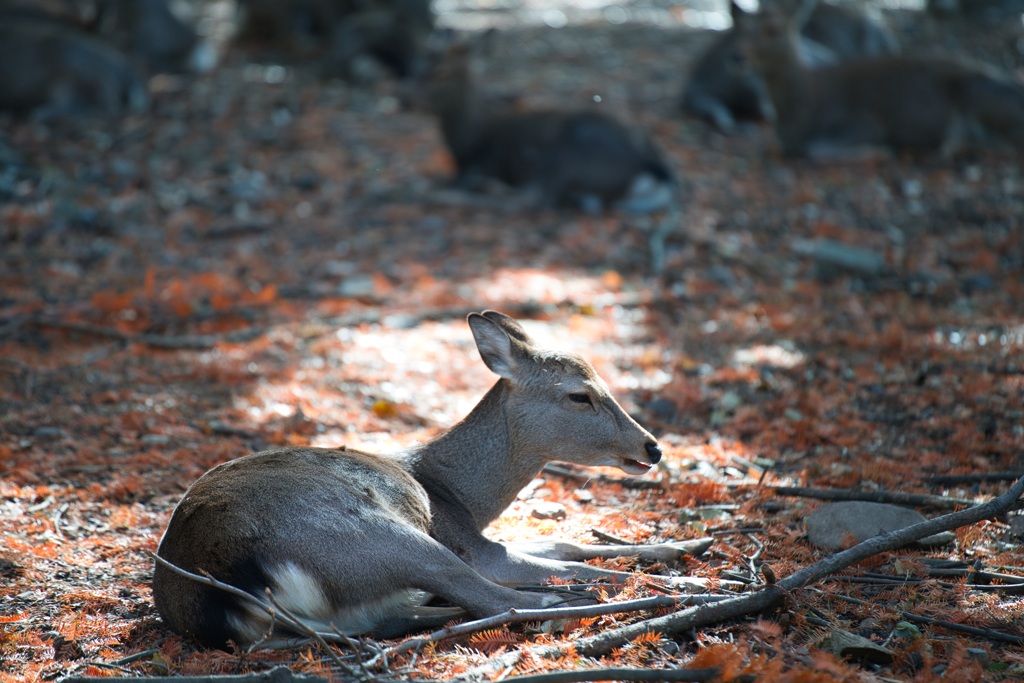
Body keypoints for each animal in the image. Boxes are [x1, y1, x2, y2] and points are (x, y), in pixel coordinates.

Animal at [153, 313, 712, 651]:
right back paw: (610, 599)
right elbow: (563, 561)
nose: (652, 447)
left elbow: (566, 541)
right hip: (375, 535)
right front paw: (685, 579)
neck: (458, 494)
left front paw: (689, 545)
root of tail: (226, 588)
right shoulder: (466, 541)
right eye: (579, 394)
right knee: (498, 598)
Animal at [419, 29, 675, 214]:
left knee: (530, 200)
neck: (467, 143)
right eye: (419, 64)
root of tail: (656, 170)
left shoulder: (483, 163)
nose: (409, 98)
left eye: (441, 72)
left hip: (567, 156)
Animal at [733, 0, 1024, 160]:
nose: (739, 57)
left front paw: (879, 151)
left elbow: (815, 147)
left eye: (773, 30)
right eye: (739, 28)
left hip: (980, 96)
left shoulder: (863, 121)